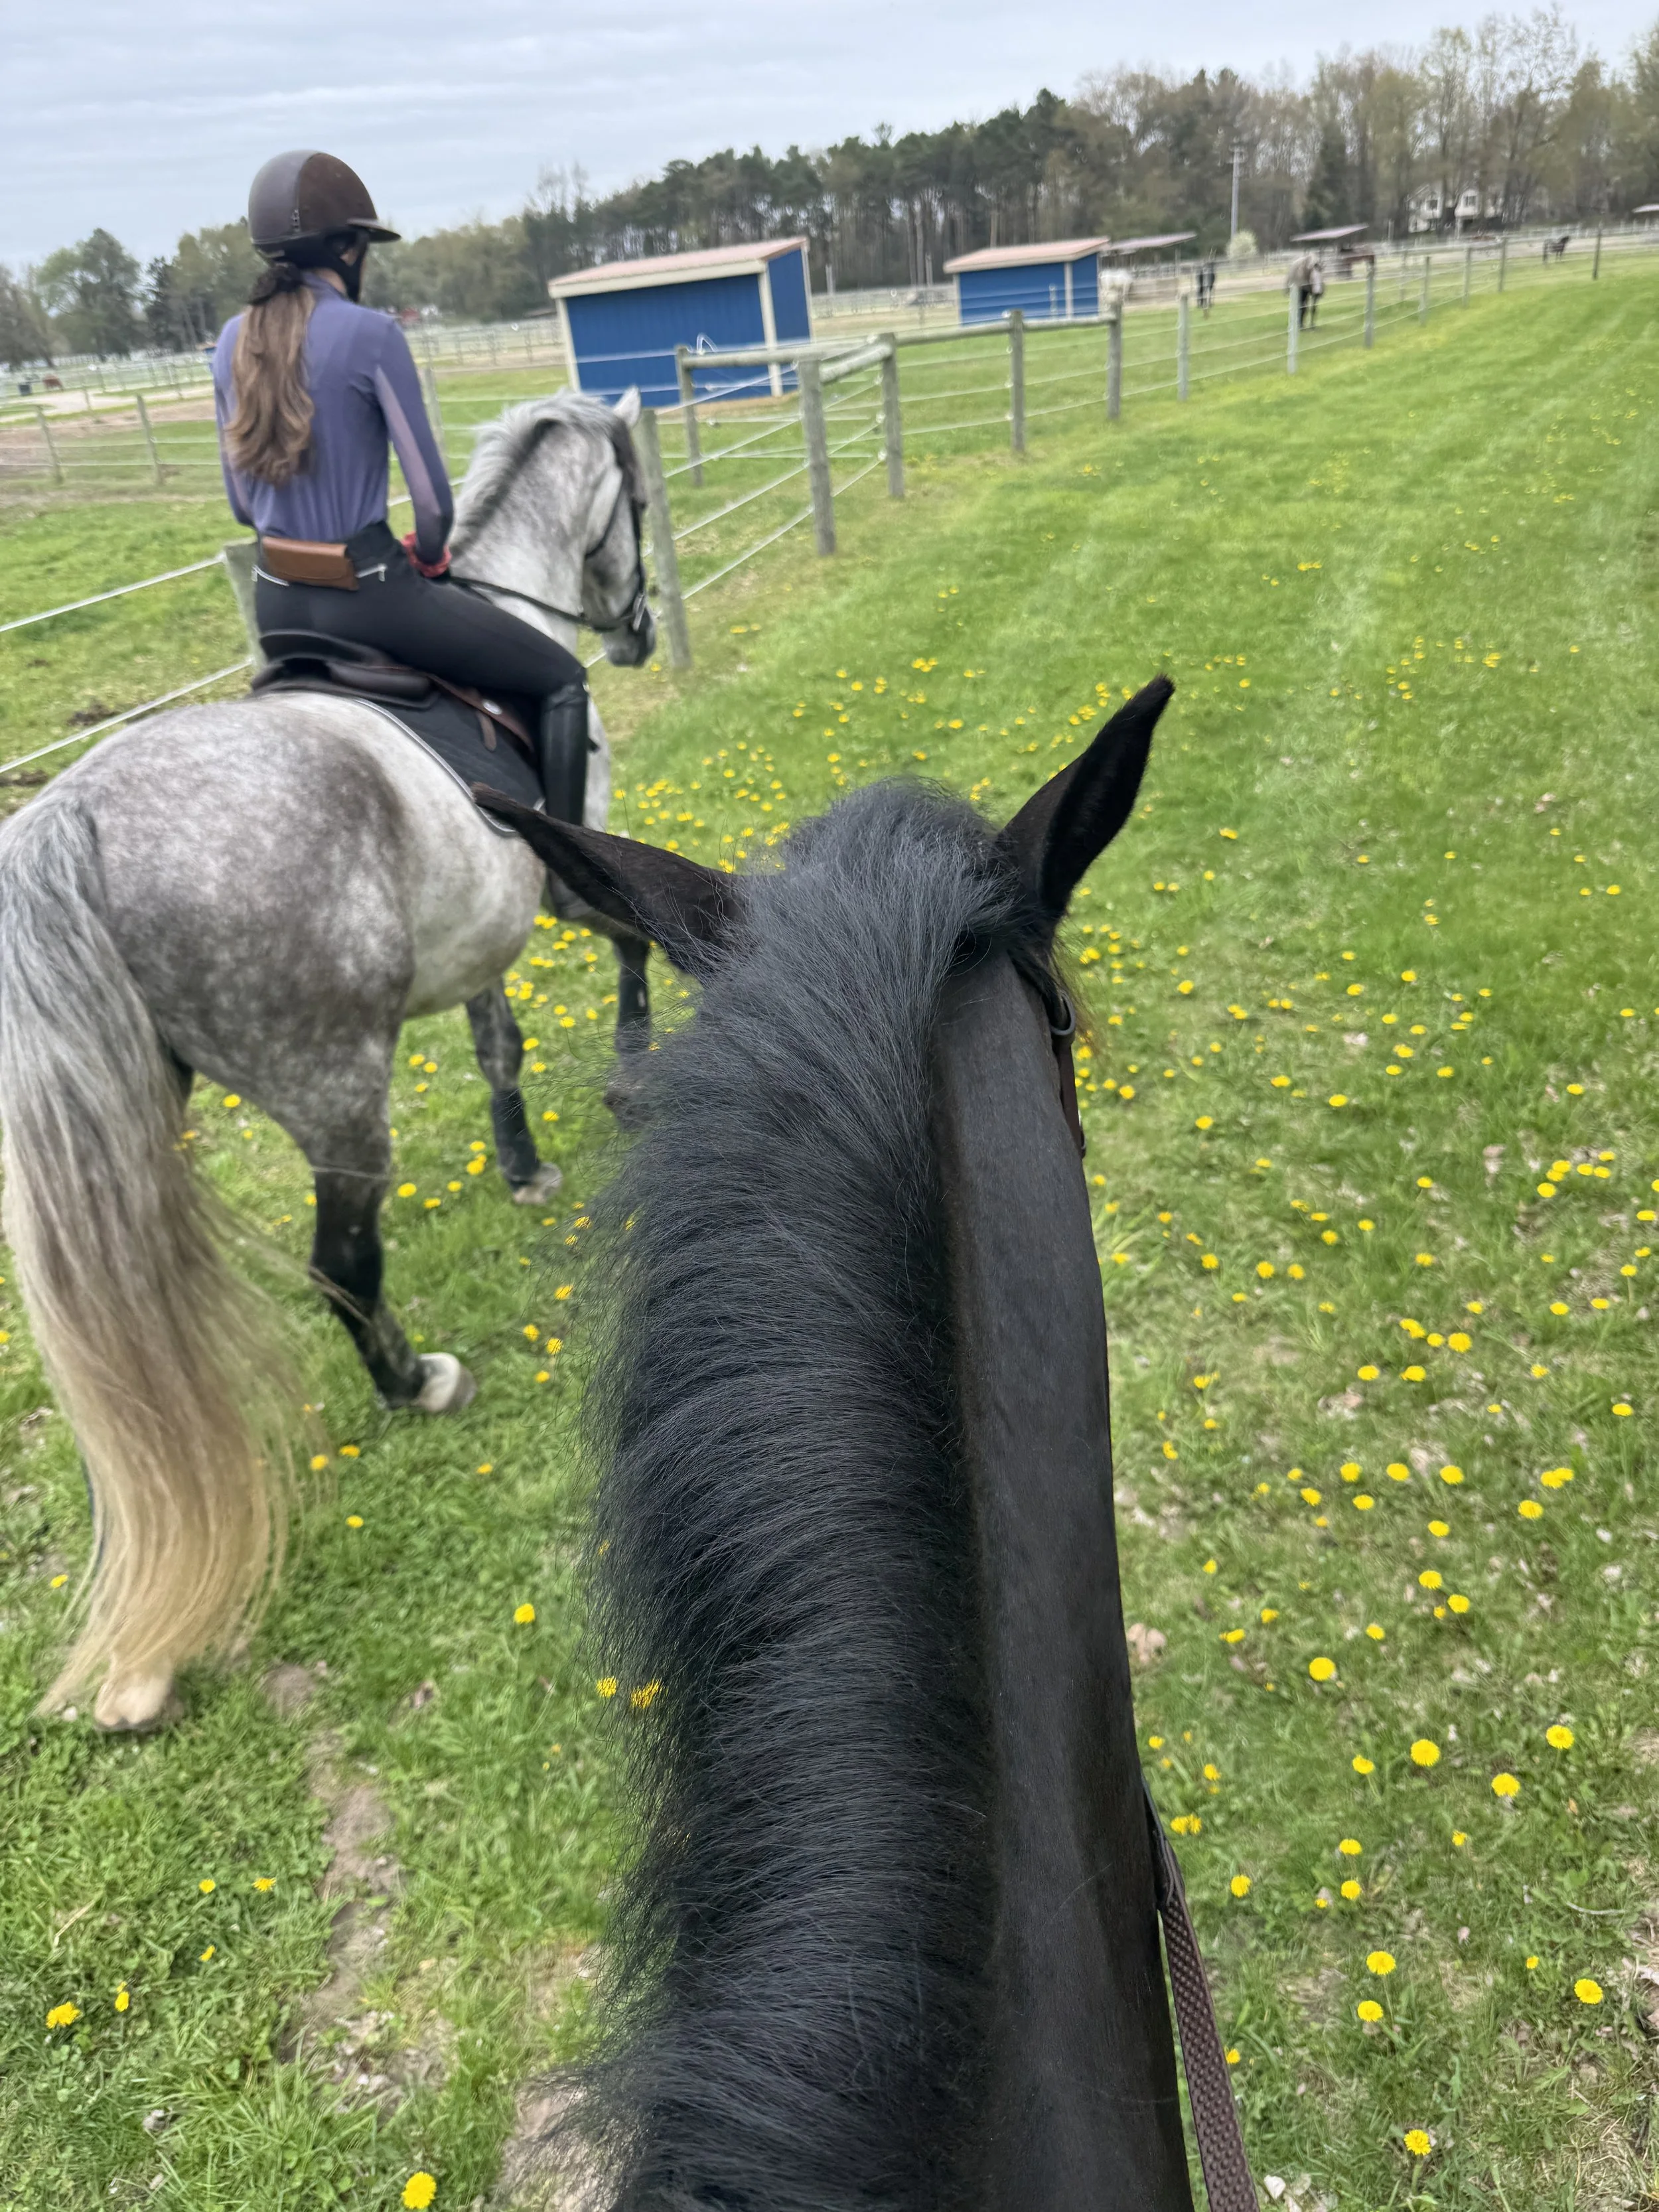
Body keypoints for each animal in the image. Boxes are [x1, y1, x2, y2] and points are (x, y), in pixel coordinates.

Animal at [0, 388, 656, 1732]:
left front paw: (523, 1163)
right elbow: (628, 938)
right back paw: (417, 1384)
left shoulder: (488, 932)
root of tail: (70, 813)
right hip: (339, 1096)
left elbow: (498, 1042)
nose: (641, 634)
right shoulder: (572, 880)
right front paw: (637, 1064)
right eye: (636, 497)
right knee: (341, 1263)